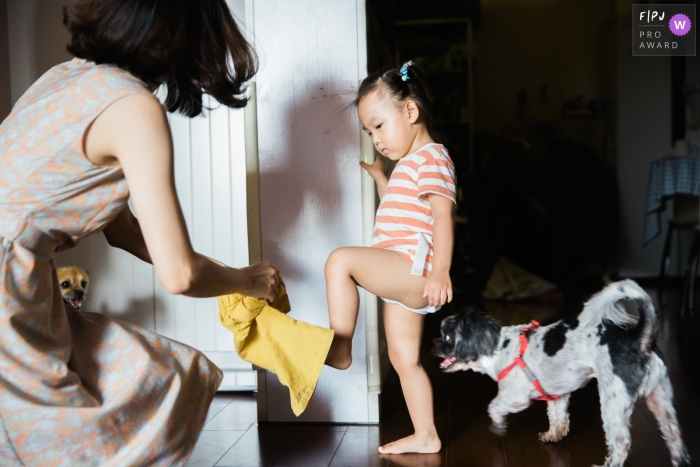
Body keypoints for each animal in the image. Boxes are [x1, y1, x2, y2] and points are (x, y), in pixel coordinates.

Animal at [434, 282, 692, 467]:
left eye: (446, 337)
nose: (433, 344)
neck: (499, 345)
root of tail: (642, 339)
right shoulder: (558, 394)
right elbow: (558, 417)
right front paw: (553, 435)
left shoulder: (515, 396)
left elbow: (494, 407)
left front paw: (499, 426)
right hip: (659, 397)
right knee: (674, 434)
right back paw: (680, 460)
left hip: (612, 401)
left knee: (620, 442)